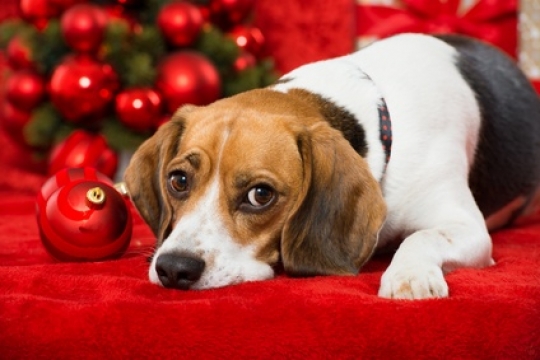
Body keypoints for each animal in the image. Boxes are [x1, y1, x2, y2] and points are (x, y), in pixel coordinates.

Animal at [124, 33, 540, 300]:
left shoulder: (469, 228)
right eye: (178, 180)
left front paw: (409, 276)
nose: (174, 268)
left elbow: (423, 236)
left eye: (260, 195)